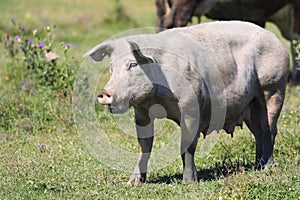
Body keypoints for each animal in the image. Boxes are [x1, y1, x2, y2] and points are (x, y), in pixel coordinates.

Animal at [85, 21, 290, 184]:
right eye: (111, 68)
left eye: (132, 64)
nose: (103, 92)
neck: (157, 99)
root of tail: (278, 42)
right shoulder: (141, 110)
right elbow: (144, 145)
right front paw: (133, 183)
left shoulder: (191, 106)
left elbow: (187, 146)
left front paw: (188, 181)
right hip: (251, 104)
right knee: (258, 132)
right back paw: (257, 165)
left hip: (273, 87)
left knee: (270, 129)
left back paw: (267, 167)